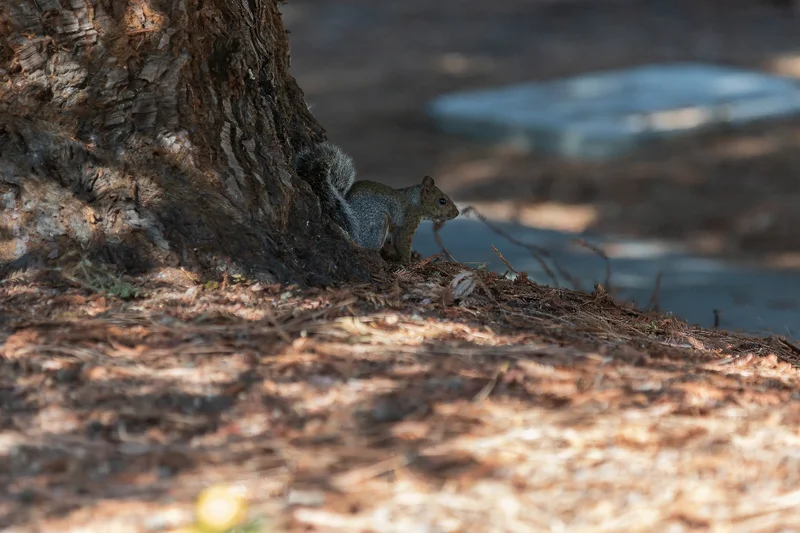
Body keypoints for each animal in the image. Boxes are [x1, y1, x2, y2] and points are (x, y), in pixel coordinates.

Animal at [296, 141, 460, 264]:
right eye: (442, 201)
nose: (457, 213)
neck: (415, 201)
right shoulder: (407, 223)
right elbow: (402, 242)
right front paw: (408, 263)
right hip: (378, 222)